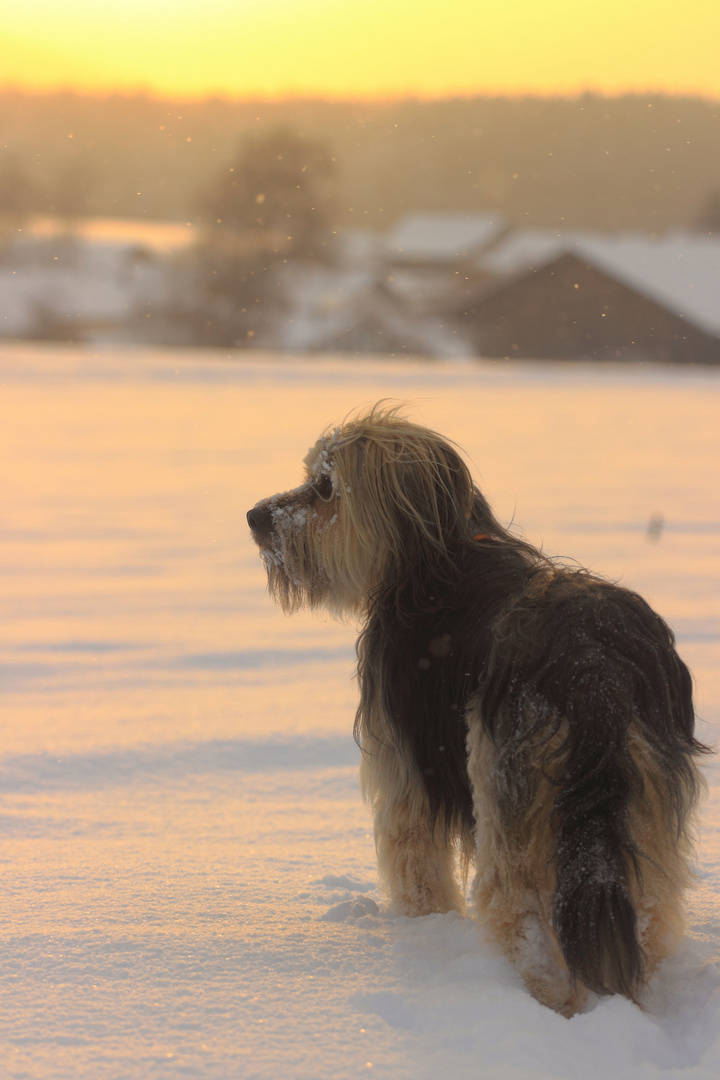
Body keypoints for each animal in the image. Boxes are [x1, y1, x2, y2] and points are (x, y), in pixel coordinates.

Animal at [245, 403, 708, 1010]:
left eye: (324, 486)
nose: (254, 516)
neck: (433, 555)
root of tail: (592, 671)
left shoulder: (403, 764)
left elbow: (414, 860)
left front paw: (420, 930)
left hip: (507, 791)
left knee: (520, 912)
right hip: (644, 801)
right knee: (647, 909)